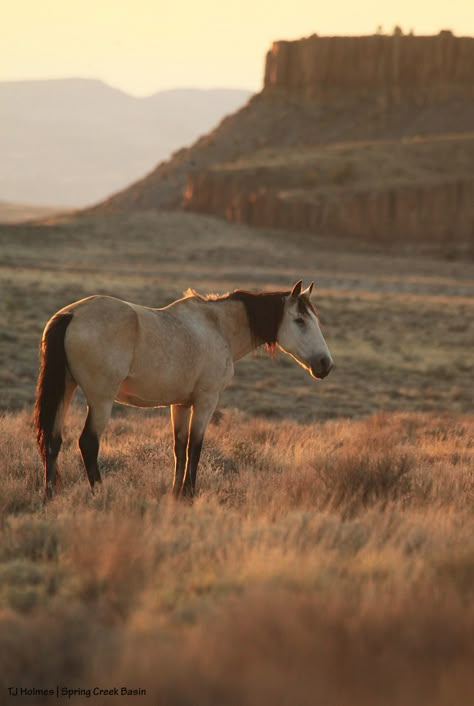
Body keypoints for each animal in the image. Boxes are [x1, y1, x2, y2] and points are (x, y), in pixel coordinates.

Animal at [34, 278, 334, 498]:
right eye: (299, 320)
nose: (325, 364)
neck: (218, 327)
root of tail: (71, 314)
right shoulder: (205, 401)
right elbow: (195, 447)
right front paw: (189, 494)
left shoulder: (179, 404)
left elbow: (179, 447)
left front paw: (175, 493)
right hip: (100, 400)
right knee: (88, 442)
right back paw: (100, 492)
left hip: (65, 389)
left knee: (52, 440)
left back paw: (50, 496)